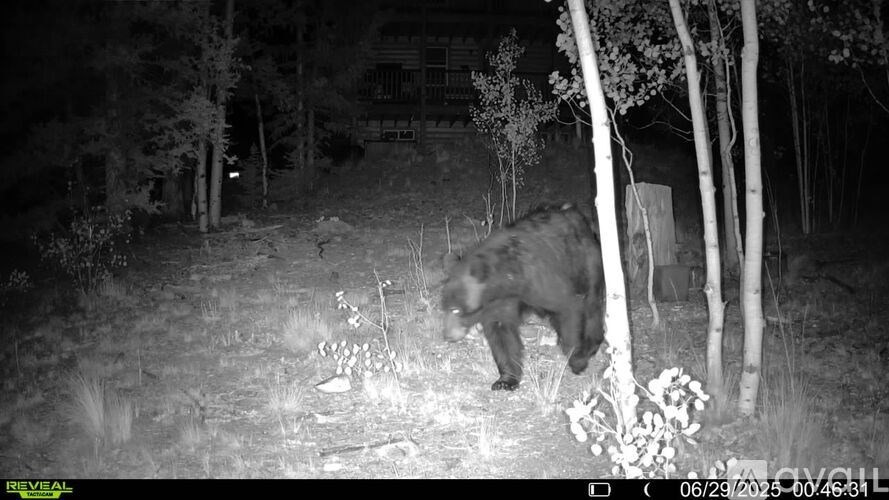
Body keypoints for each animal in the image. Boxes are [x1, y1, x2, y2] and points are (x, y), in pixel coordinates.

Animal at [441, 203, 605, 391]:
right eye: (444, 307)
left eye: (456, 310)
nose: (447, 335)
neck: (509, 277)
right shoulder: (500, 301)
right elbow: (502, 333)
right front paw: (506, 380)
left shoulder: (543, 279)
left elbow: (568, 307)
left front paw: (577, 360)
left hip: (588, 264)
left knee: (592, 305)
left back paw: (592, 343)